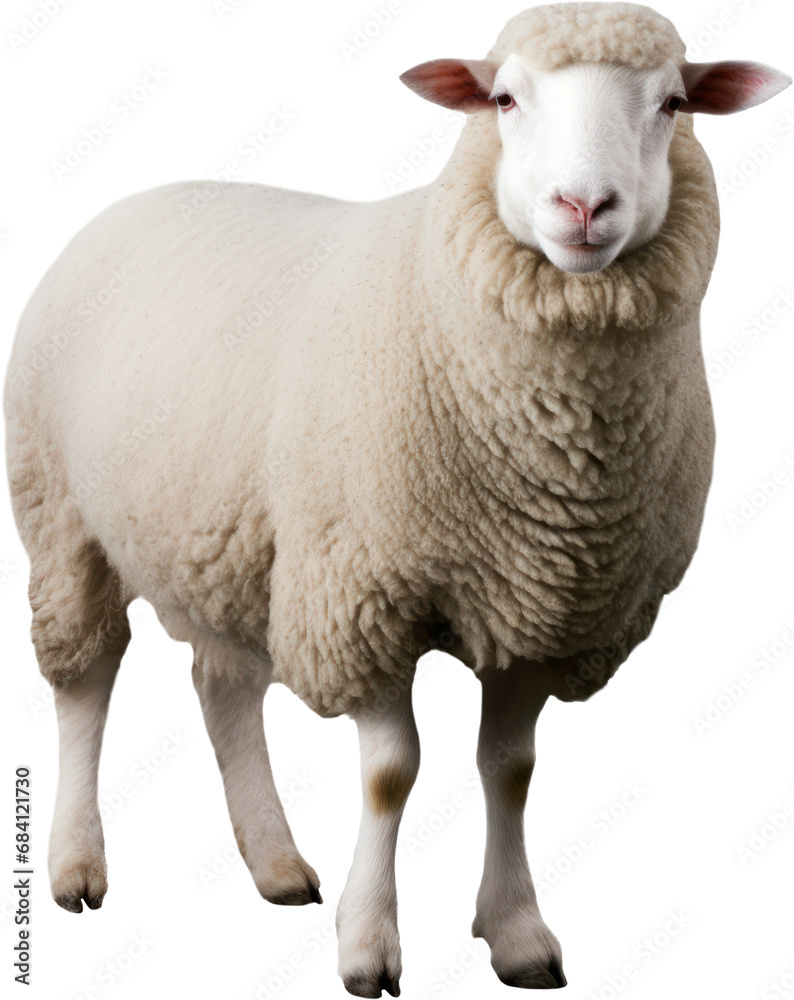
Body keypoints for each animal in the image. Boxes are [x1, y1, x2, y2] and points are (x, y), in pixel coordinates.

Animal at [4, 1, 790, 995]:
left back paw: (273, 863)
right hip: (61, 516)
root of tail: (147, 194)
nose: (583, 208)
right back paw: (76, 862)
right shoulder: (363, 595)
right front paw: (368, 944)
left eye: (674, 103)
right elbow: (393, 772)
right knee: (86, 680)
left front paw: (518, 931)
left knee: (221, 686)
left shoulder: (548, 608)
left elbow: (511, 767)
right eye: (503, 98)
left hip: (226, 540)